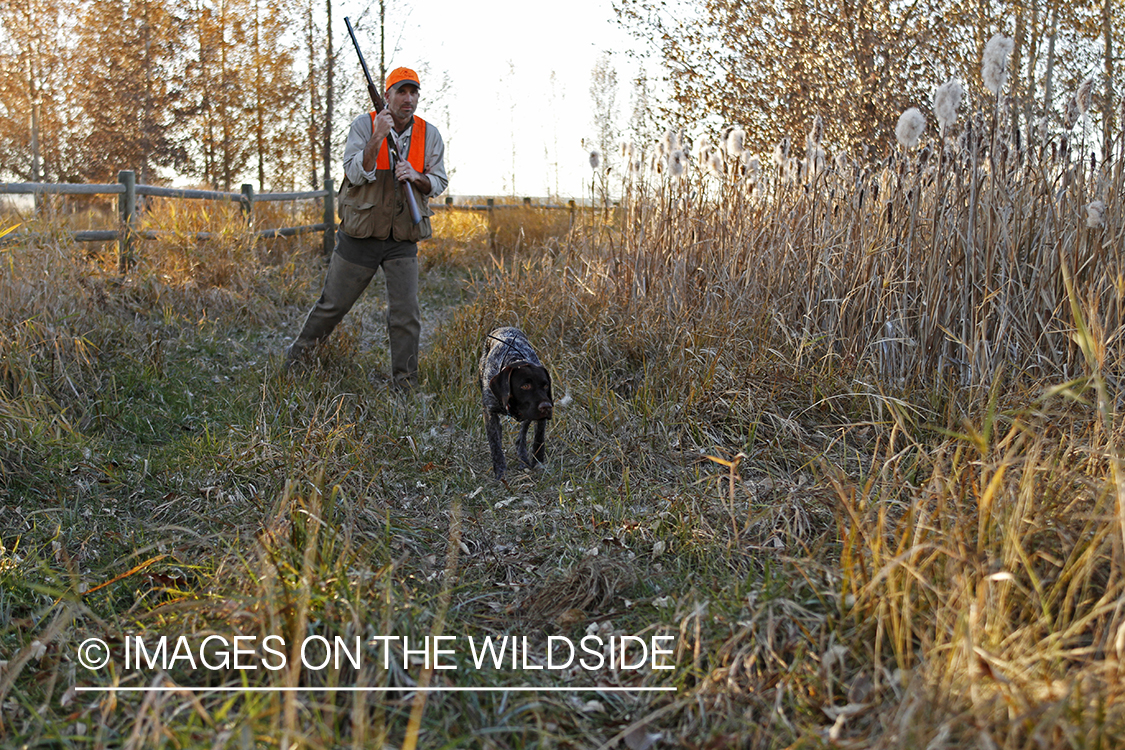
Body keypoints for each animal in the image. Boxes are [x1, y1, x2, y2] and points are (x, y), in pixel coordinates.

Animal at [479, 326, 553, 481]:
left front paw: (538, 465)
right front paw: (500, 473)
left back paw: (523, 459)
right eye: (525, 386)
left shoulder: (538, 418)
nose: (547, 407)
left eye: (545, 385)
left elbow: (538, 440)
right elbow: (495, 445)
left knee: (521, 437)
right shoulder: (489, 412)